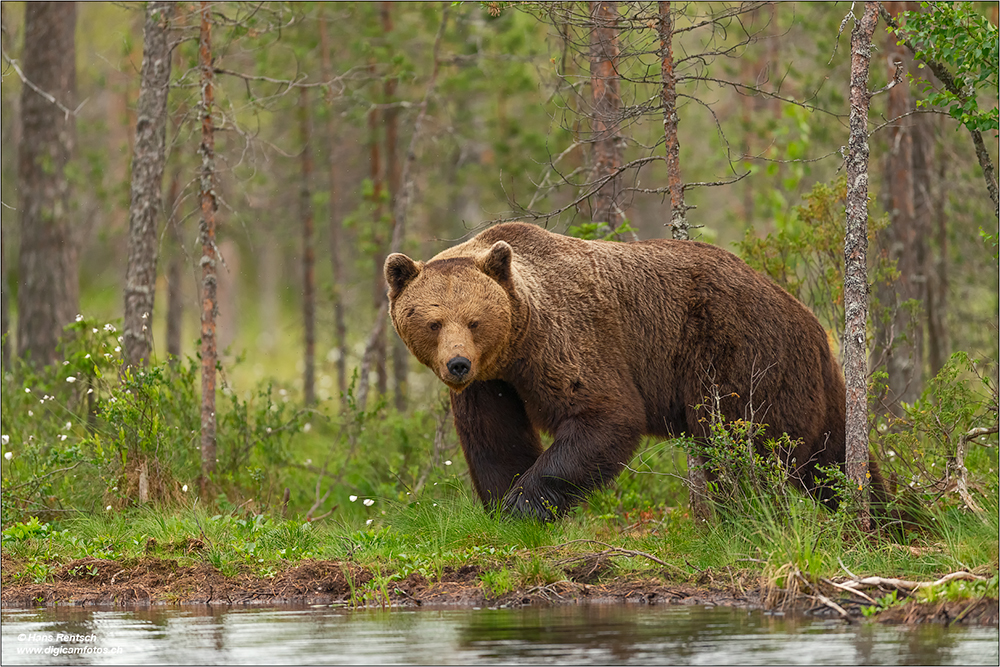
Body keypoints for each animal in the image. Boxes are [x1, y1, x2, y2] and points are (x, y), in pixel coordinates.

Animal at [384, 222, 892, 520]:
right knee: (834, 454)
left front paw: (522, 504)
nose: (457, 364)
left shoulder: (570, 341)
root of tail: (813, 321)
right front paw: (501, 504)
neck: (517, 345)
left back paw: (746, 517)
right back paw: (889, 519)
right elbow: (494, 440)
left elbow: (604, 415)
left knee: (743, 447)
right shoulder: (493, 383)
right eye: (433, 322)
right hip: (811, 384)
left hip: (741, 355)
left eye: (475, 320)